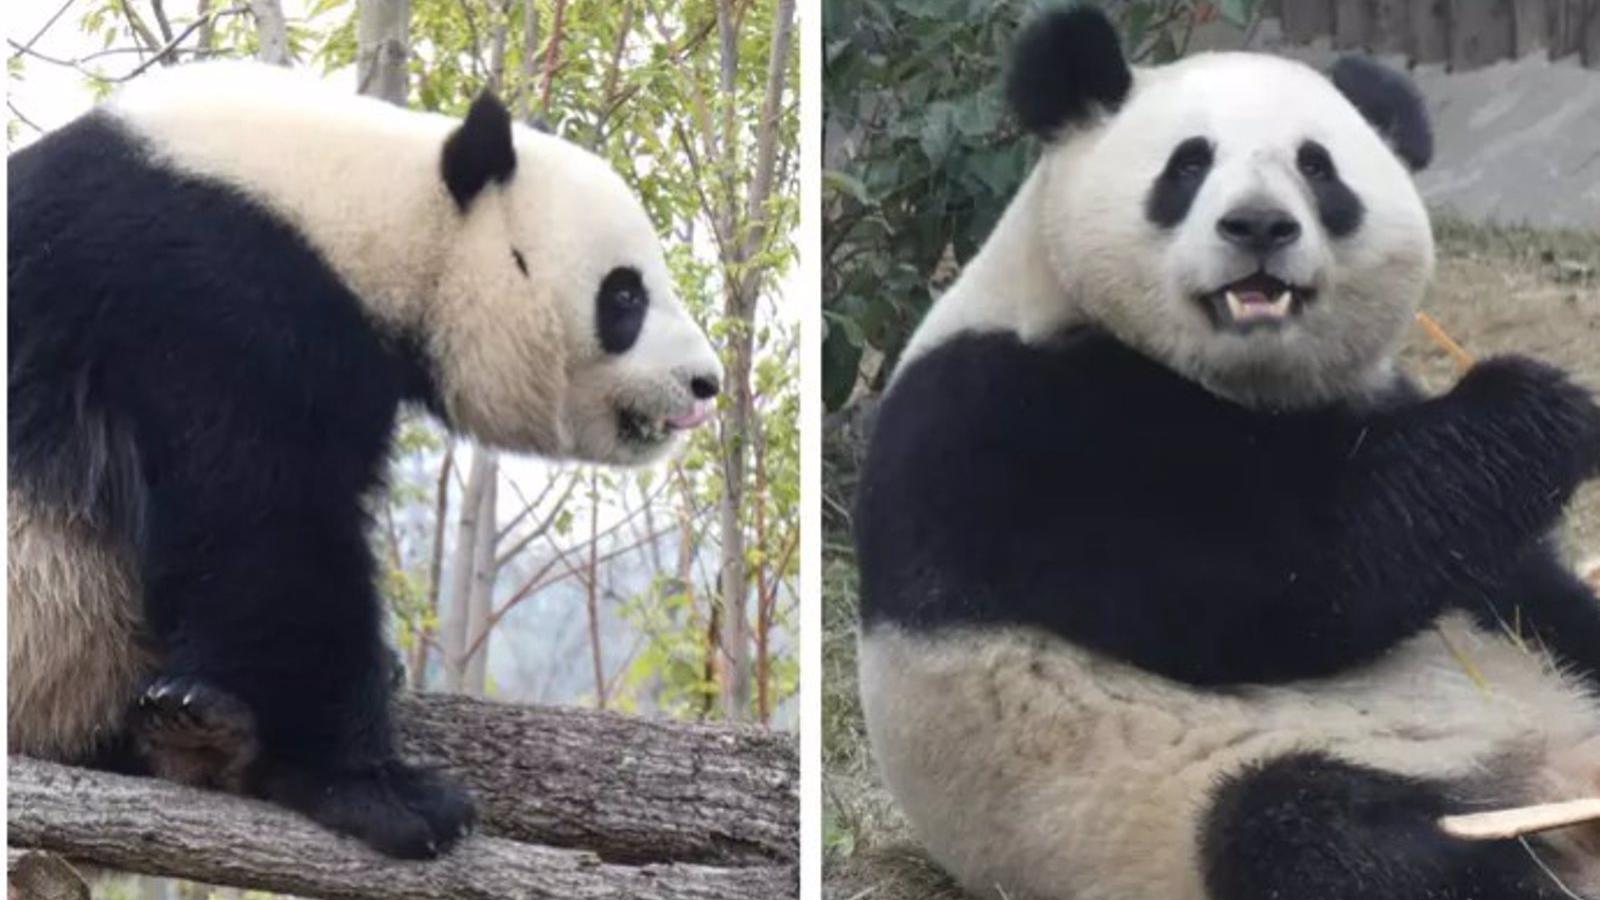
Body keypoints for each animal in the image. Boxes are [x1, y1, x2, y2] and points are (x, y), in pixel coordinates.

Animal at [855, 7, 1600, 900]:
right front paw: (1541, 408)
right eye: (1188, 163)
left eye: (1318, 166)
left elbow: (1509, 577)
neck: (1242, 384)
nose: (1258, 227)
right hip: (1182, 797)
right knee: (1312, 832)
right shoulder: (1005, 430)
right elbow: (1284, 581)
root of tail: (1551, 779)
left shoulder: (1366, 405)